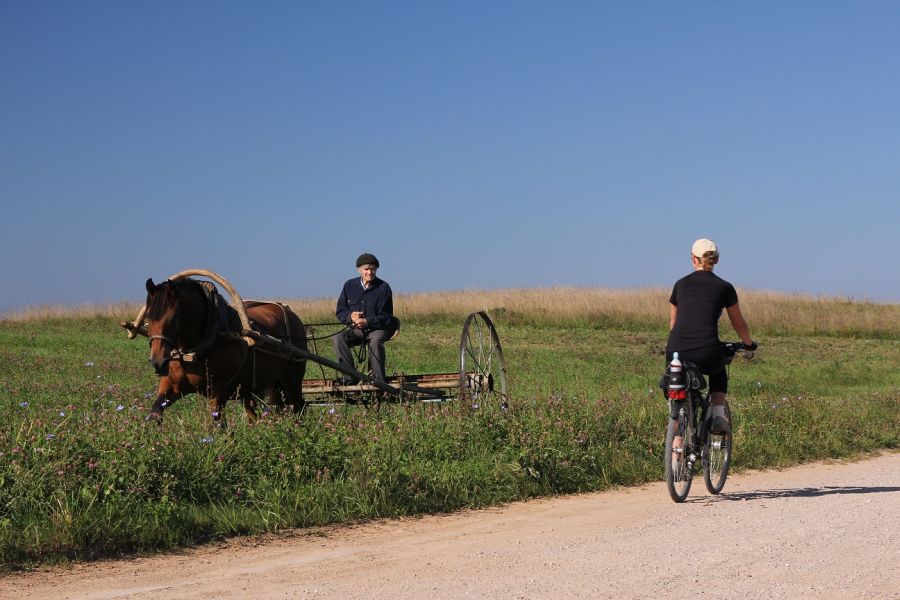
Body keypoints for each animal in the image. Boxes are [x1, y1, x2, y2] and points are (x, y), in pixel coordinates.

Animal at [143, 278, 306, 424]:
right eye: (148, 315)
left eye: (174, 316)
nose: (157, 361)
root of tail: (290, 313)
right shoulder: (171, 386)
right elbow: (155, 413)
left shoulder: (217, 392)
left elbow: (218, 426)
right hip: (261, 386)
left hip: (292, 379)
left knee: (299, 407)